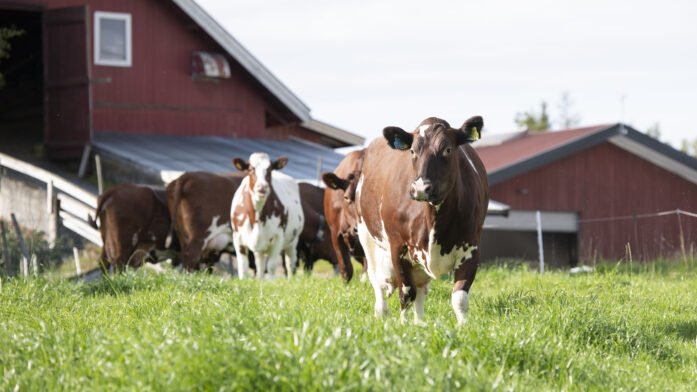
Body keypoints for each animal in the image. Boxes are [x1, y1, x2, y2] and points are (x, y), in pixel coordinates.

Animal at [356, 115, 486, 324]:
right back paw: (382, 313)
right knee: (376, 280)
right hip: (365, 235)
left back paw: (419, 322)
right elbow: (406, 292)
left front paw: (463, 326)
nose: (420, 188)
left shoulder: (472, 247)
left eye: (447, 149)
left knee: (421, 288)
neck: (434, 217)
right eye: (412, 151)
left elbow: (459, 296)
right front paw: (403, 324)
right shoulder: (398, 247)